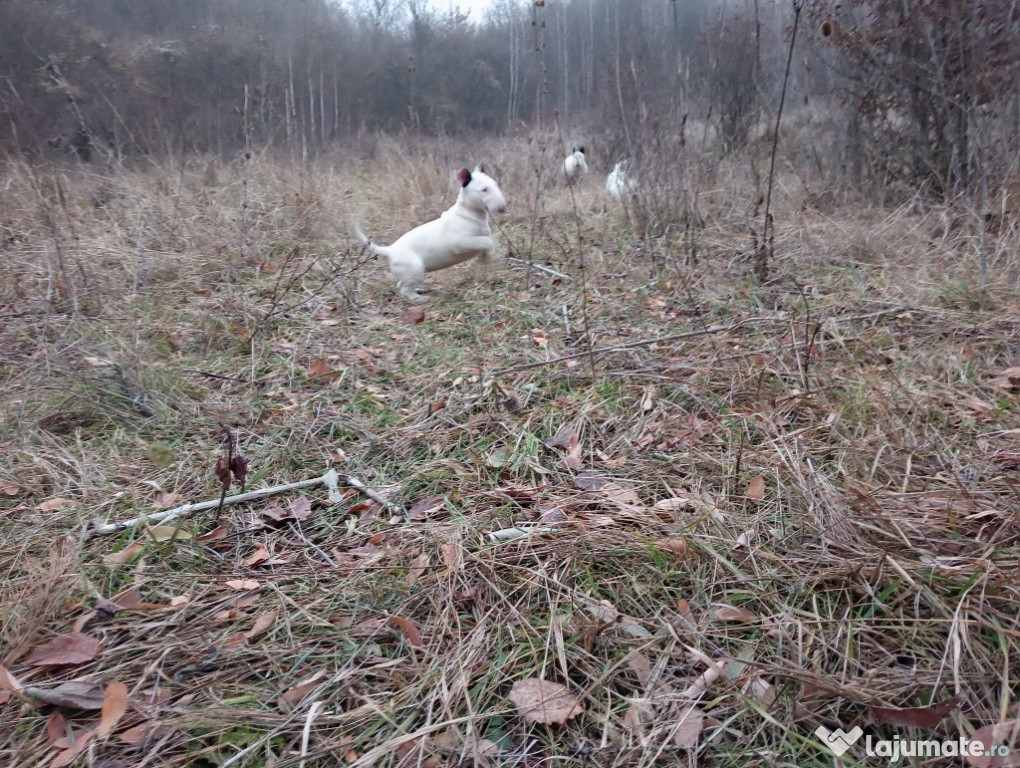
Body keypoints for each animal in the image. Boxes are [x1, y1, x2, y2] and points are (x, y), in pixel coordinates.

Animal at [354, 164, 505, 299]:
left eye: (496, 185)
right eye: (484, 189)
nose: (502, 208)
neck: (469, 214)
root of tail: (390, 250)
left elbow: (486, 246)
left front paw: (487, 259)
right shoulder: (460, 243)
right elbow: (487, 241)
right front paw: (492, 252)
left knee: (401, 285)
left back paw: (419, 291)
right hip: (414, 270)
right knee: (403, 289)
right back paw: (419, 298)